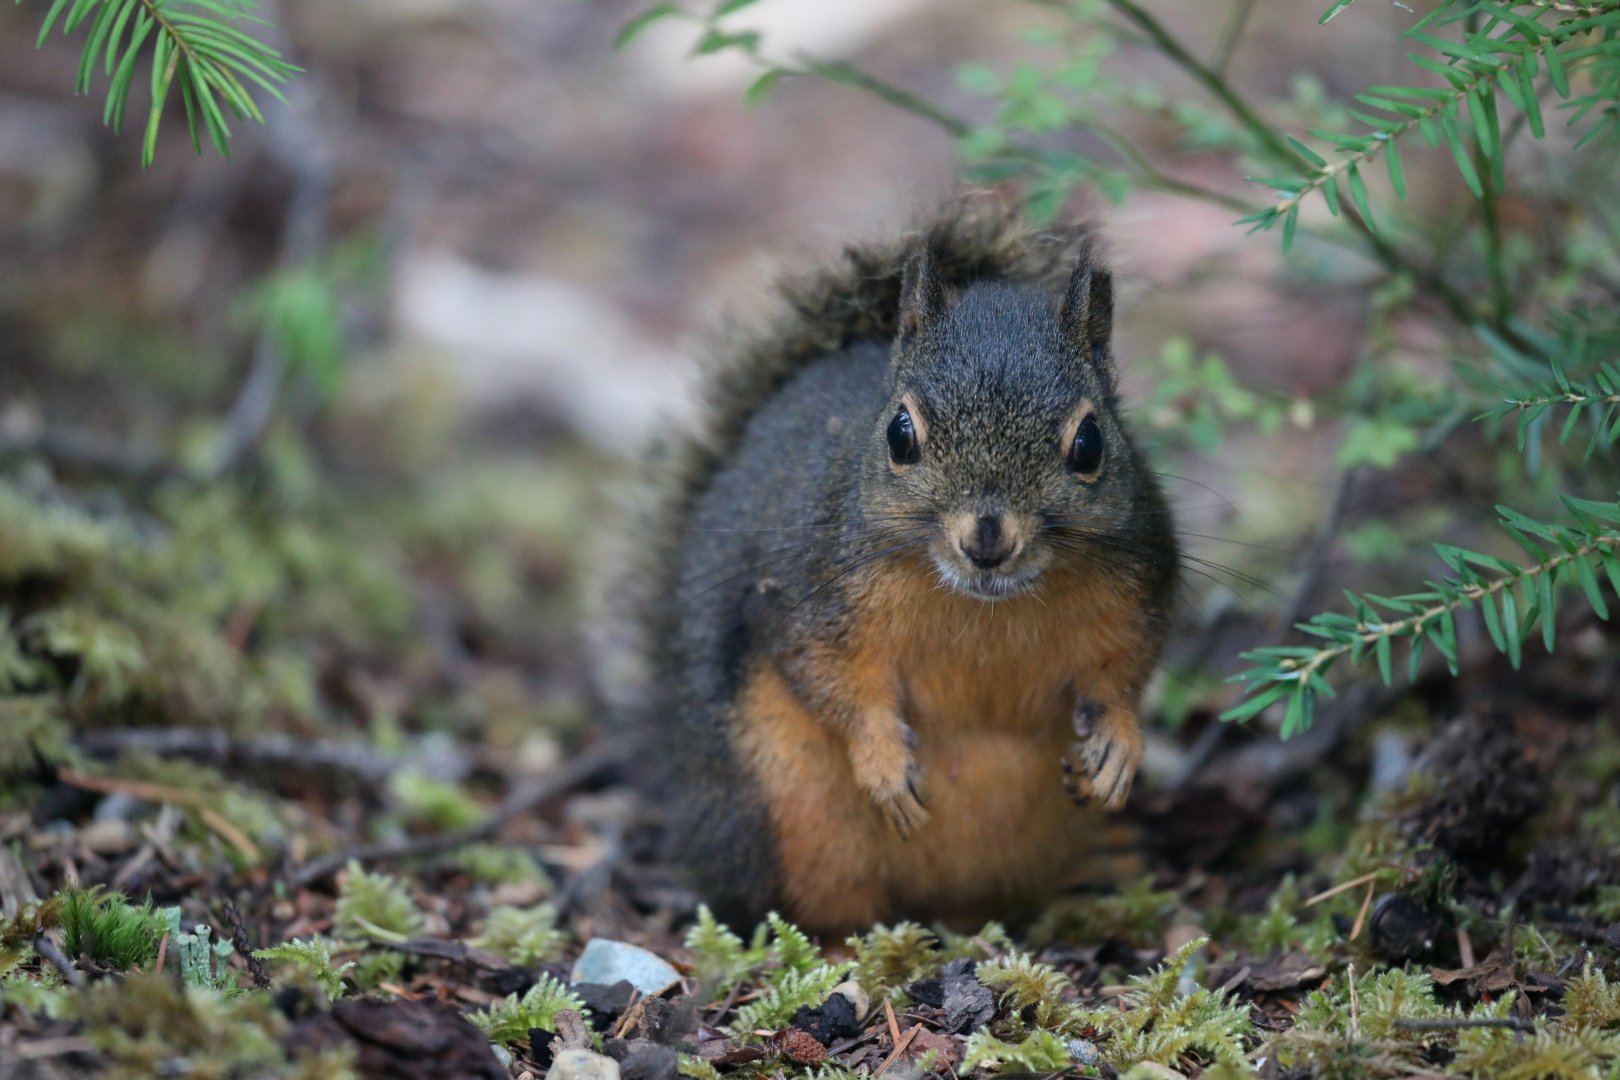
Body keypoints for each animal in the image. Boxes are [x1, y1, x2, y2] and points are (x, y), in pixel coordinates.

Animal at [615, 201, 1178, 933]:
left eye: (1090, 444)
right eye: (899, 435)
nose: (987, 539)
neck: (985, 605)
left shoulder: (1140, 580)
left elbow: (1128, 670)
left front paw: (1117, 745)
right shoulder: (804, 587)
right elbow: (830, 677)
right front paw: (882, 759)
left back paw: (1091, 870)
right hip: (786, 810)